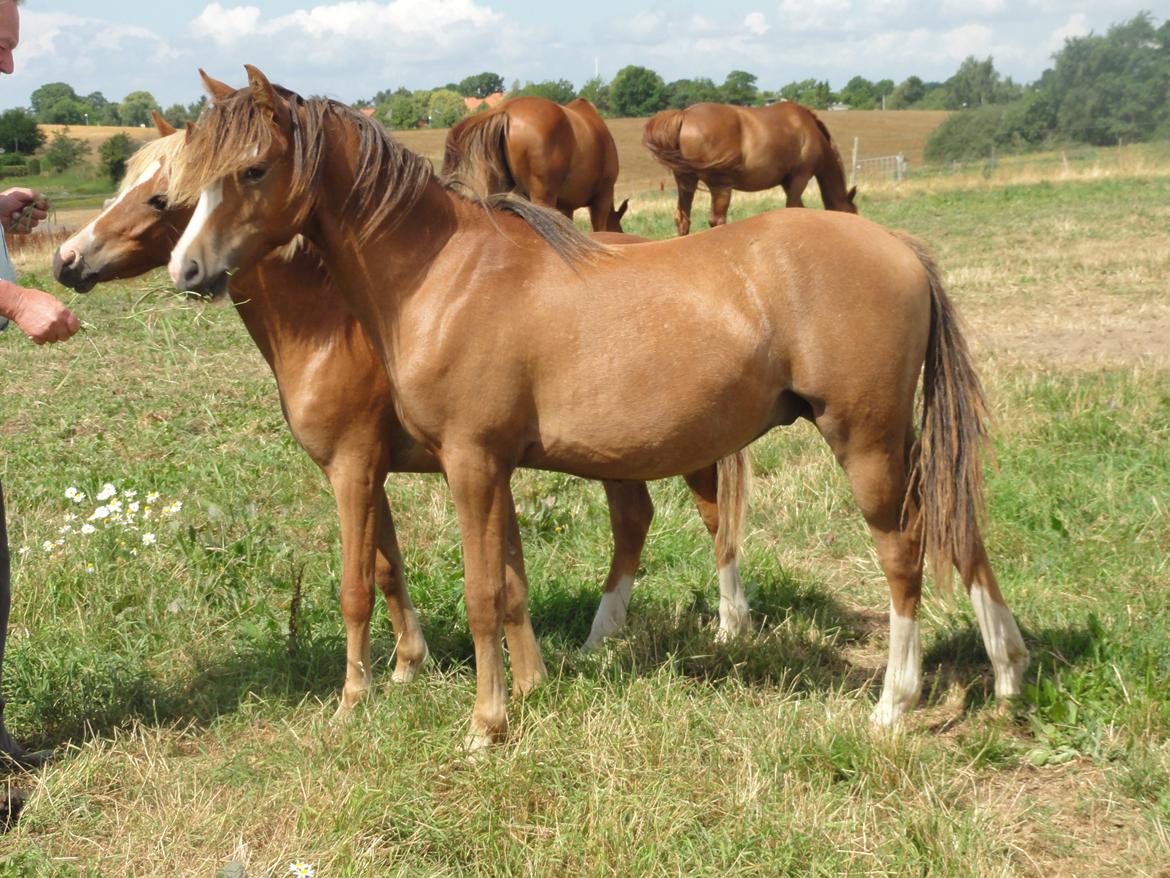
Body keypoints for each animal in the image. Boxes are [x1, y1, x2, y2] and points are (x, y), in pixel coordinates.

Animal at [51, 114, 751, 715]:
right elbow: (390, 568)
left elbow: (361, 581)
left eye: (159, 199)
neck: (335, 323)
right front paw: (410, 665)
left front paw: (364, 692)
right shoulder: (373, 469)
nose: (67, 261)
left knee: (714, 518)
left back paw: (728, 625)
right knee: (636, 519)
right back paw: (600, 638)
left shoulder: (355, 466)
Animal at [642, 101, 858, 236]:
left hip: (686, 182)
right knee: (717, 221)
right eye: (854, 214)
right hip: (720, 186)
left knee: (683, 219)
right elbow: (793, 207)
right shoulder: (800, 177)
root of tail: (684, 115)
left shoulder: (787, 182)